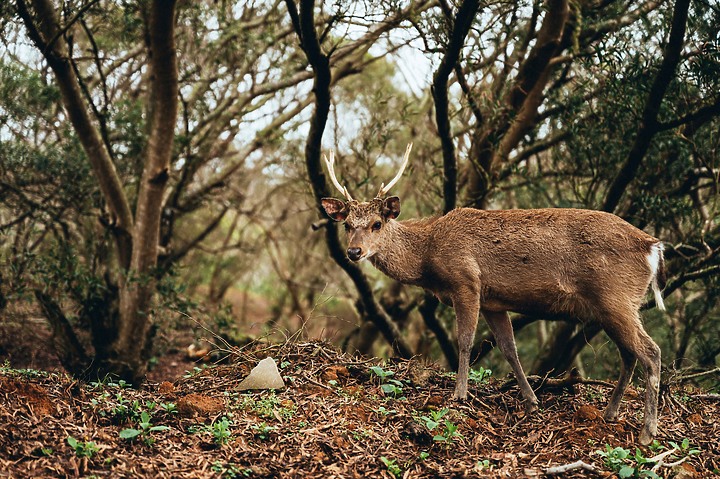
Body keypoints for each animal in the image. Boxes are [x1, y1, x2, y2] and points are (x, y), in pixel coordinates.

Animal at [324, 143, 668, 446]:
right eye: (348, 225)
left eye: (377, 224)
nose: (354, 252)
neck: (429, 255)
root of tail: (653, 247)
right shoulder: (493, 301)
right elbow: (508, 348)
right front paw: (531, 401)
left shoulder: (466, 281)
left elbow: (465, 341)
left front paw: (459, 394)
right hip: (613, 306)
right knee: (629, 353)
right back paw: (610, 413)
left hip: (616, 297)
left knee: (650, 351)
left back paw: (647, 432)